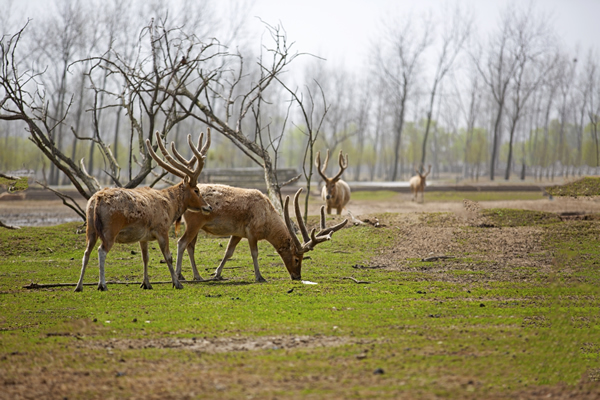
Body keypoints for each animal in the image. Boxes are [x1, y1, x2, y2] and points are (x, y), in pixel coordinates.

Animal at [74, 130, 212, 290]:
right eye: (196, 190)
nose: (208, 207)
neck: (170, 207)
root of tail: (97, 199)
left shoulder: (143, 236)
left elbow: (145, 257)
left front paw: (146, 283)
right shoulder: (162, 229)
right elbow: (168, 256)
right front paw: (177, 283)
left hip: (90, 227)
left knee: (86, 252)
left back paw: (79, 286)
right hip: (110, 229)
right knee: (101, 250)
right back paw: (102, 285)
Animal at [173, 186, 346, 282]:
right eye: (297, 259)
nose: (297, 276)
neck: (266, 217)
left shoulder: (238, 233)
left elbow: (229, 252)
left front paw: (216, 274)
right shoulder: (251, 233)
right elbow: (254, 253)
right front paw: (259, 277)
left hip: (196, 227)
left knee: (190, 246)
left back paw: (196, 276)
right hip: (194, 223)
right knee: (182, 242)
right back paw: (181, 275)